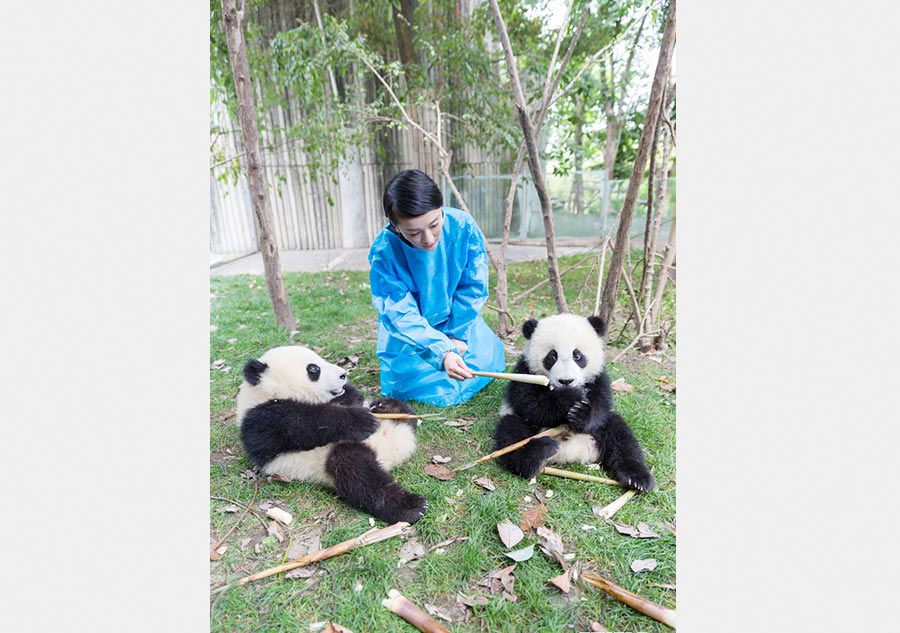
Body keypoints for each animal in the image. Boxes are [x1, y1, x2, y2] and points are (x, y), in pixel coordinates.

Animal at [234, 346, 428, 524]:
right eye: (313, 369)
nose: (343, 374)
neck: (267, 393)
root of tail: (396, 451)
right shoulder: (259, 421)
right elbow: (299, 423)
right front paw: (361, 421)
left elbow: (350, 395)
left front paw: (354, 400)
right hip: (328, 458)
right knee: (357, 474)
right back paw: (412, 507)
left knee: (401, 411)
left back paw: (387, 408)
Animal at [492, 314, 652, 492]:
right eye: (552, 356)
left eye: (577, 355)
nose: (566, 381)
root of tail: (571, 452)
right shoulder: (525, 372)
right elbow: (531, 403)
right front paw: (570, 397)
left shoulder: (598, 377)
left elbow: (601, 404)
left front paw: (580, 413)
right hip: (519, 424)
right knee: (511, 434)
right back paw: (538, 453)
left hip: (602, 430)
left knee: (621, 437)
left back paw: (637, 478)